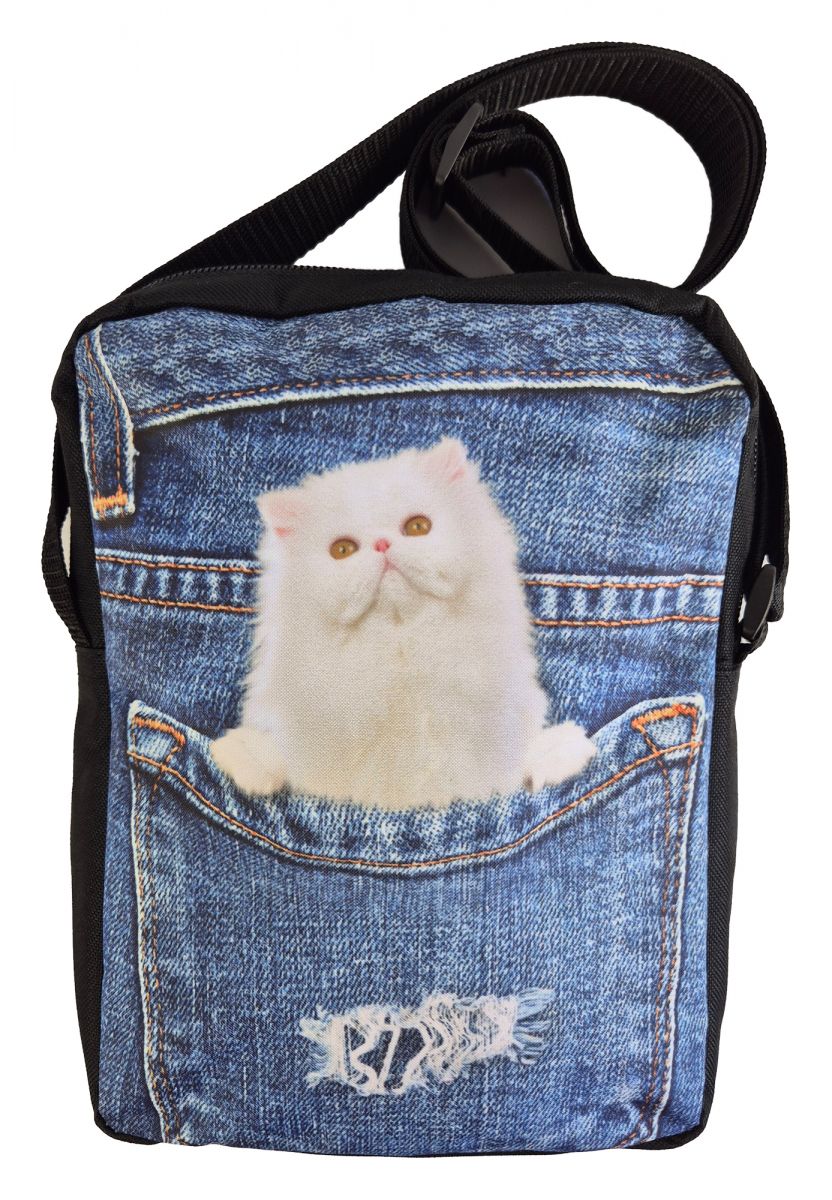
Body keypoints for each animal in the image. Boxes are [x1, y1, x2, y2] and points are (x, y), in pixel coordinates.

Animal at [211, 437, 595, 810]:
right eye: (342, 550)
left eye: (418, 527)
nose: (382, 544)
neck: (401, 653)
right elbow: (281, 764)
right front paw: (241, 753)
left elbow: (522, 762)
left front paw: (561, 749)